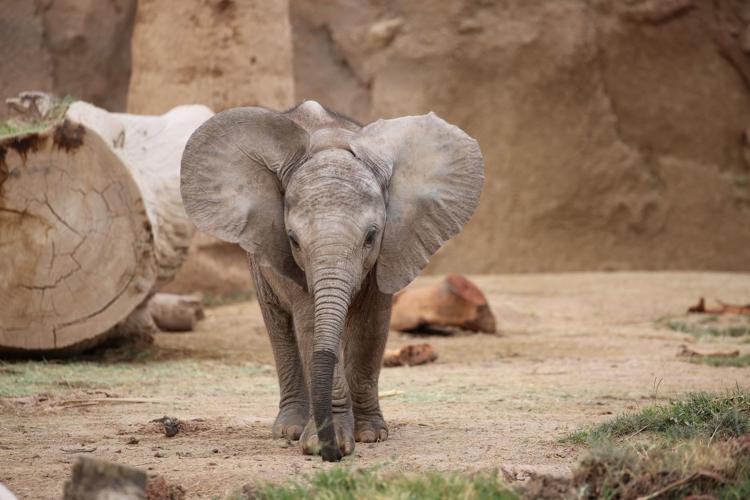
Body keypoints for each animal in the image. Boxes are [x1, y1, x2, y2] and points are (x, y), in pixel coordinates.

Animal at [180, 100, 484, 461]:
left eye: (371, 237)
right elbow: (311, 324)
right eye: (293, 240)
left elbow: (370, 325)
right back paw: (289, 430)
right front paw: (324, 443)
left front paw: (370, 435)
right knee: (279, 325)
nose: (332, 456)